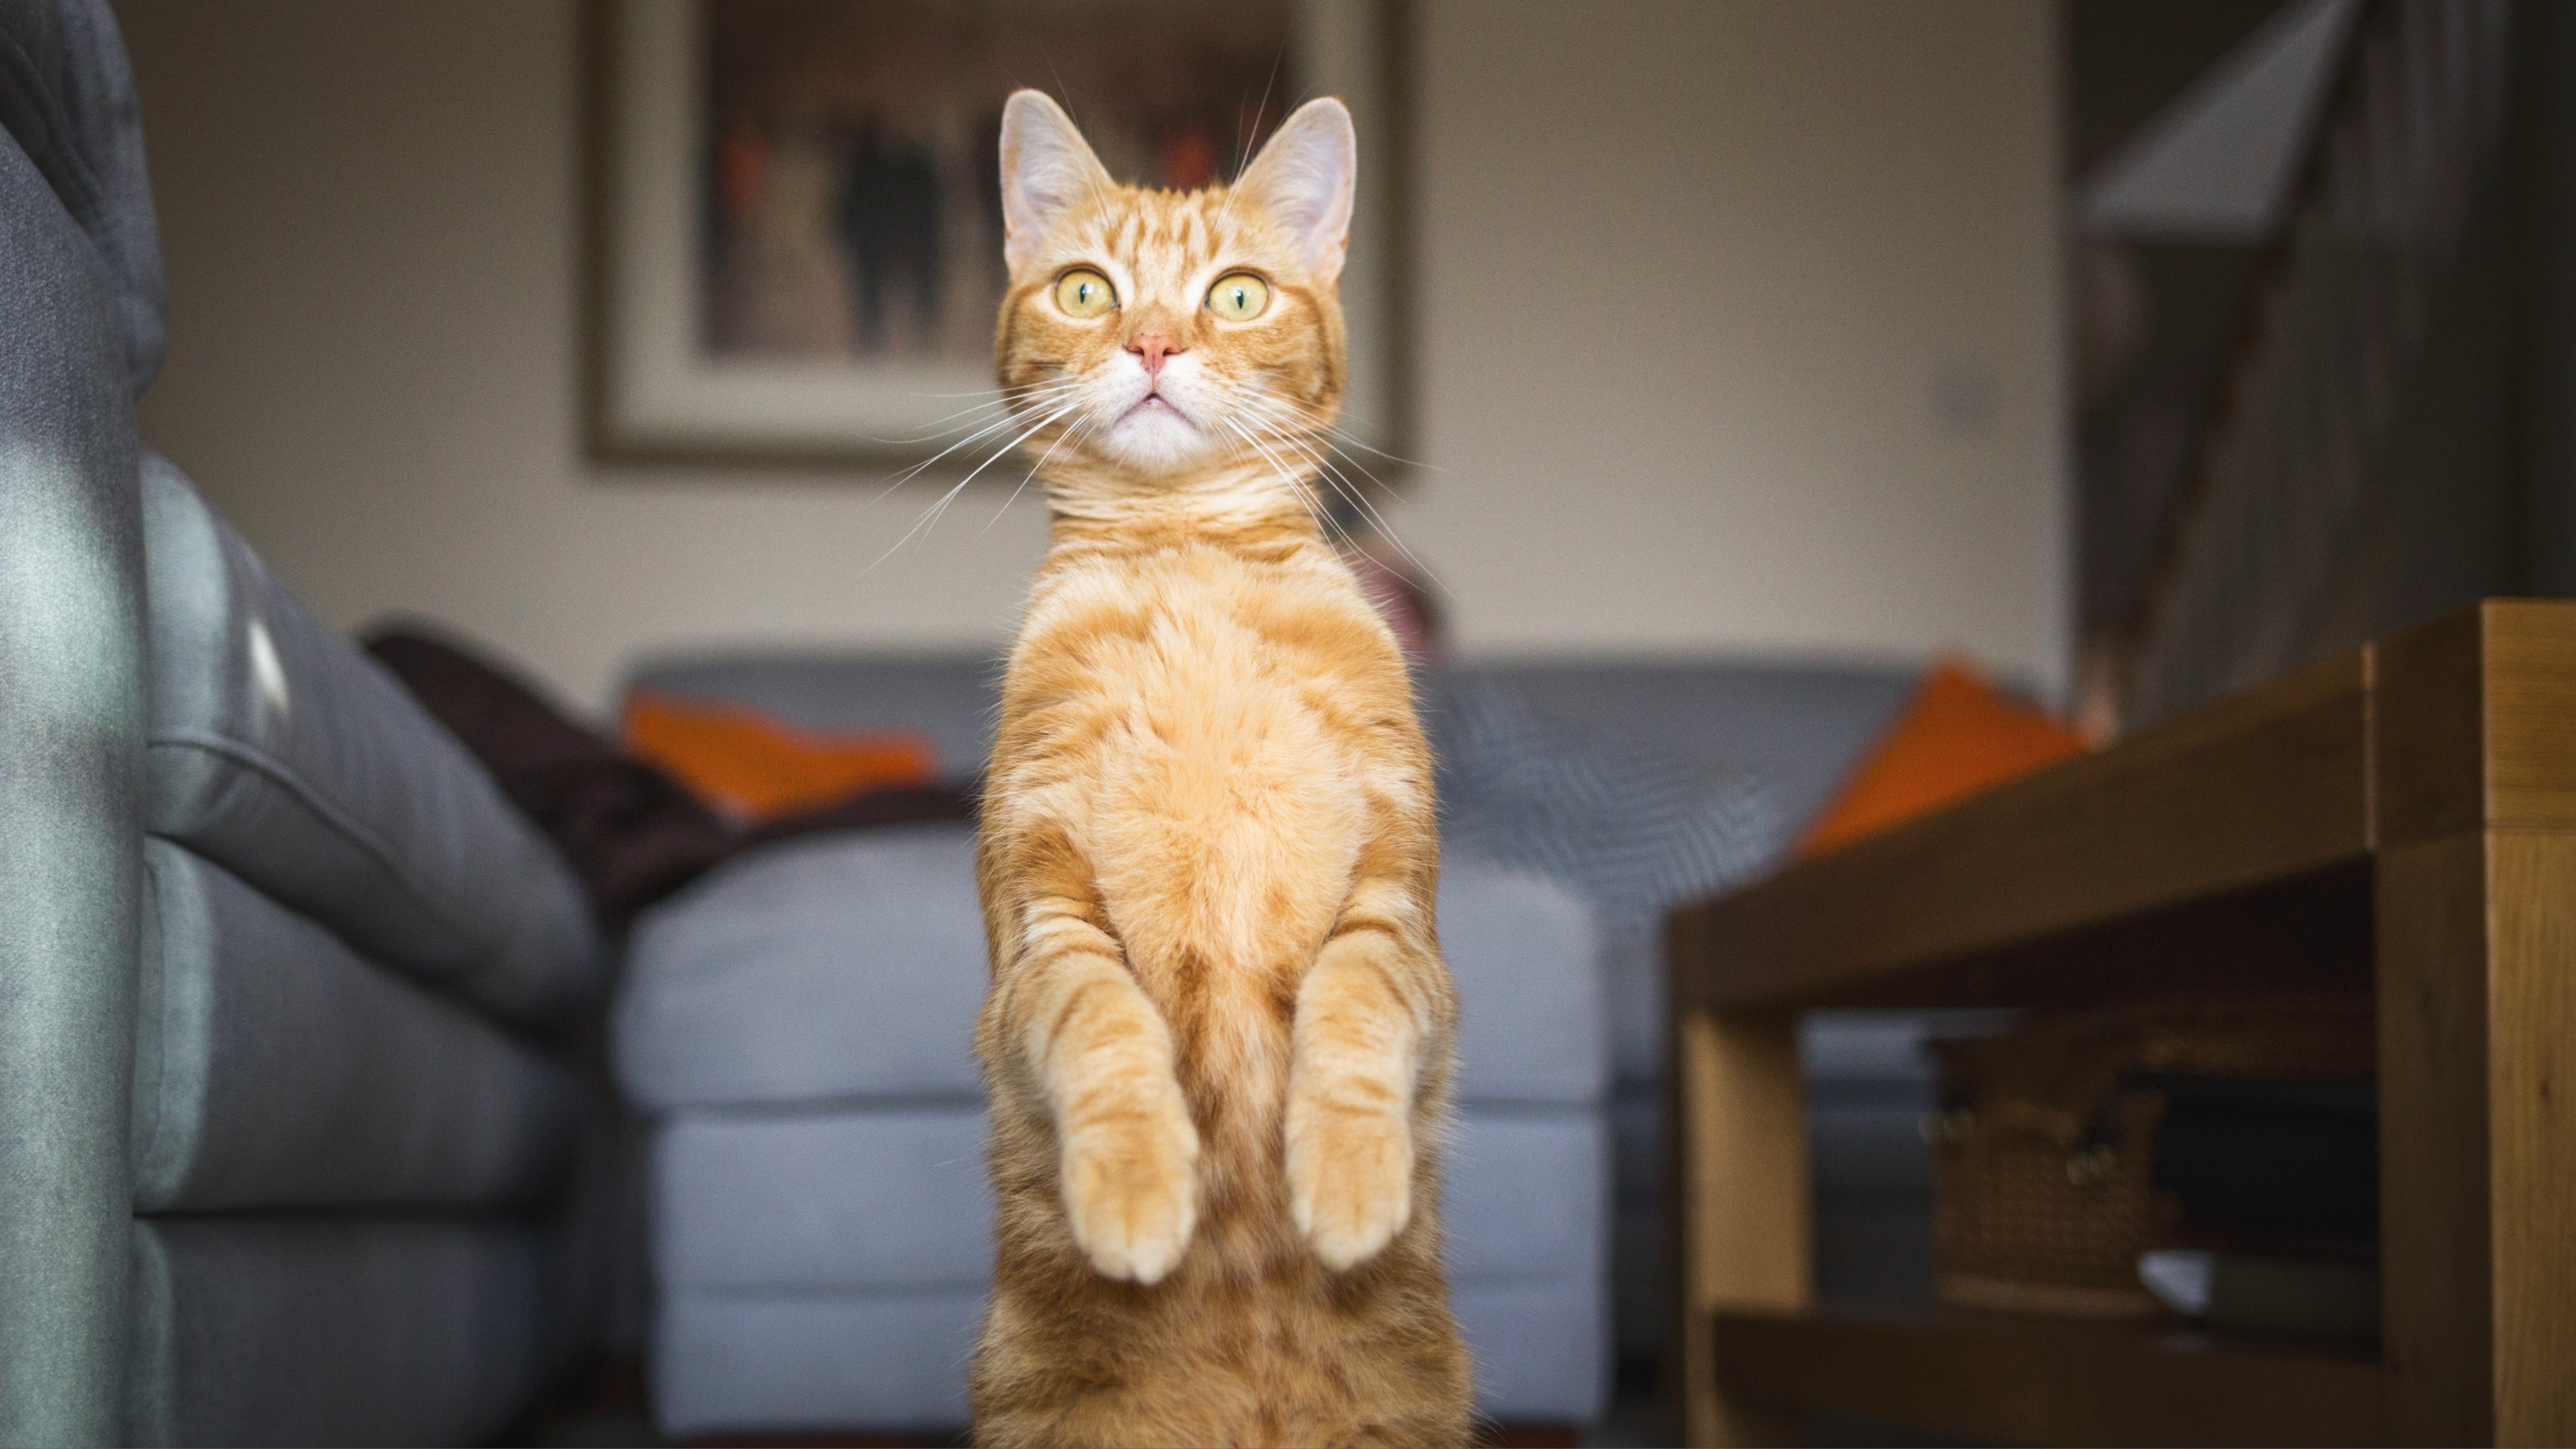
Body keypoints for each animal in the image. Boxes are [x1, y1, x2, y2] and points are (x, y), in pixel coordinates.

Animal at [968, 93, 1473, 1449]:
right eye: (1087, 290)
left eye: (1235, 296)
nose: (1151, 341)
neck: (1186, 558)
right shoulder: (1043, 915)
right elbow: (1105, 1029)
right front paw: (1140, 1191)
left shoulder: (1393, 903)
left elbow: (1353, 1011)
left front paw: (1348, 1183)